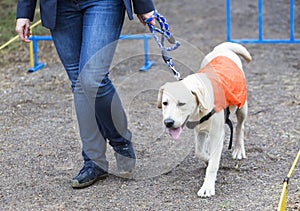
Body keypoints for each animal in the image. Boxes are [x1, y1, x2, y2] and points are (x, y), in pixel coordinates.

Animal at [157, 42, 251, 197]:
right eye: (165, 103)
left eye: (181, 103)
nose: (168, 123)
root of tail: (222, 48)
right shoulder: (199, 131)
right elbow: (199, 152)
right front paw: (207, 158)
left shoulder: (217, 135)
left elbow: (213, 164)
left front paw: (207, 187)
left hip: (242, 106)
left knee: (239, 127)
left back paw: (238, 149)